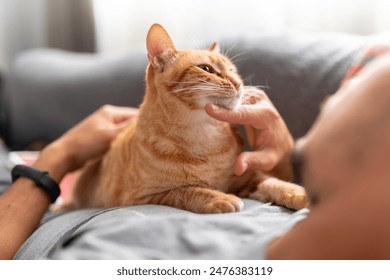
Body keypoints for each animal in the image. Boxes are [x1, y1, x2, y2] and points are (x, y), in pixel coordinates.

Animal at [68, 24, 310, 213]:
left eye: (233, 70)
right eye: (206, 68)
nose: (239, 83)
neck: (203, 135)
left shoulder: (246, 178)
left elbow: (273, 181)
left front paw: (298, 192)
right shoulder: (145, 197)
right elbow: (187, 190)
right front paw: (219, 197)